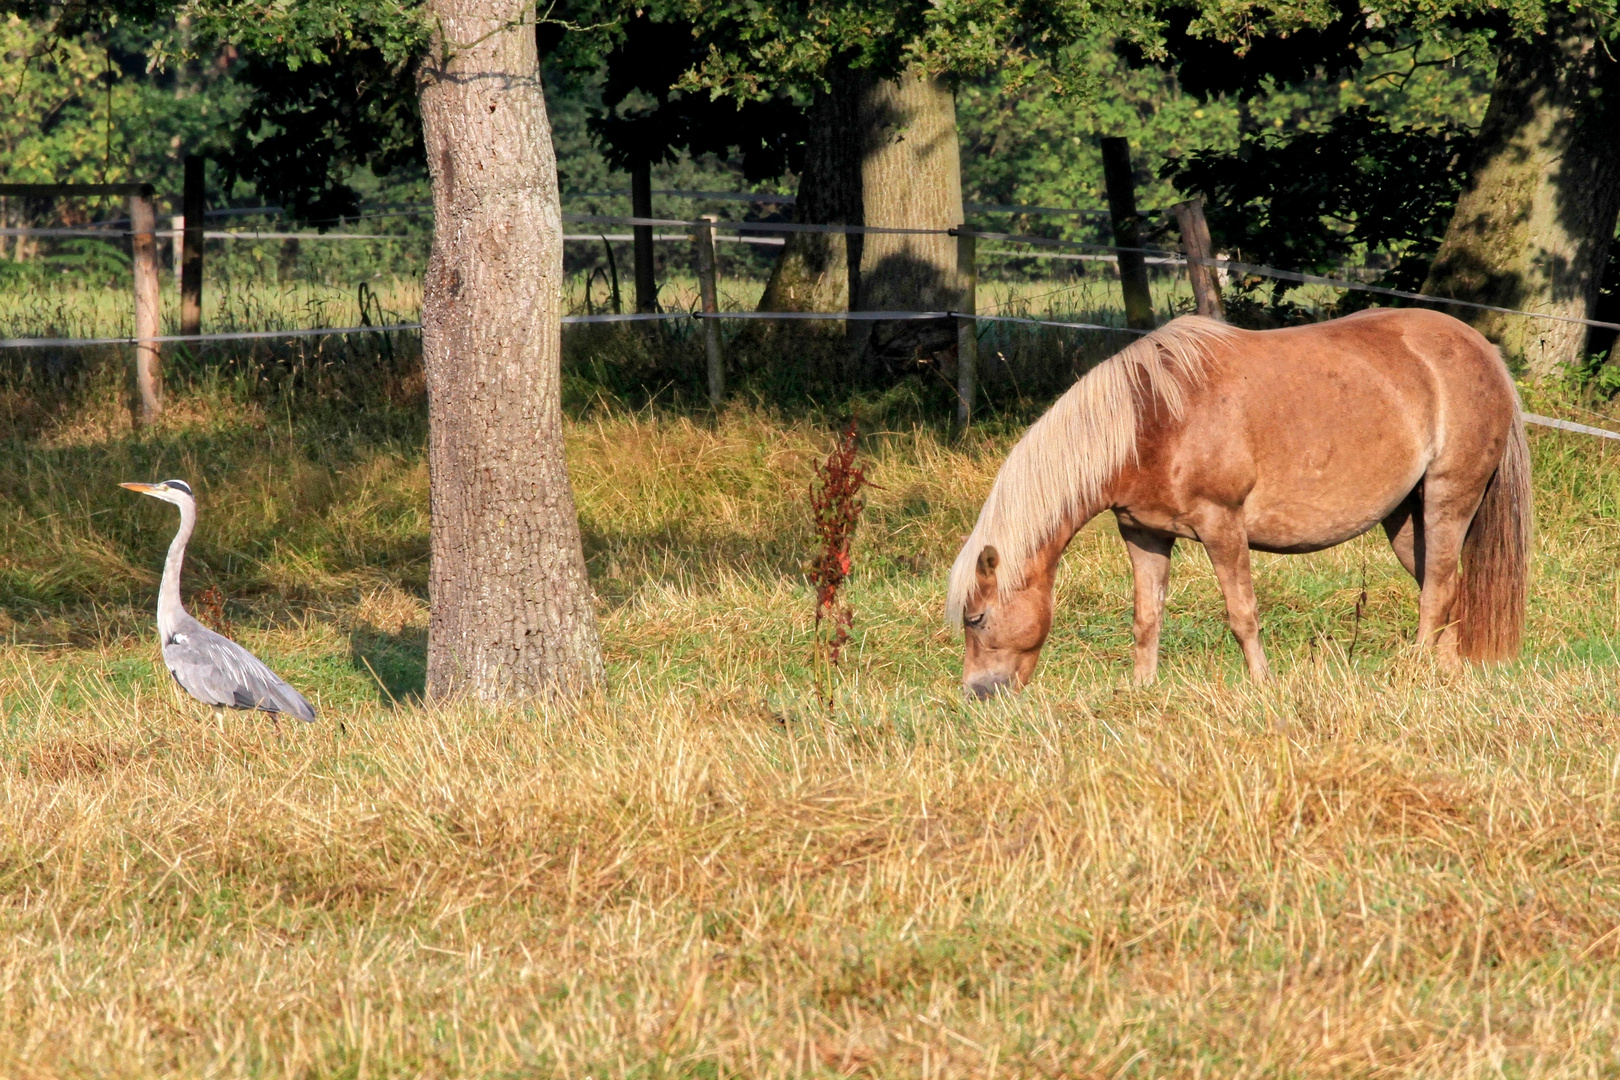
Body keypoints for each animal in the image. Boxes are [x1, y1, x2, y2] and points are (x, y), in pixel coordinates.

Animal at [946, 307, 1529, 696]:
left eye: (976, 618)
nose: (979, 693)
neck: (1152, 419)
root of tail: (1484, 351)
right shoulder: (1143, 532)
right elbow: (1146, 617)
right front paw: (1141, 691)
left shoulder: (1221, 524)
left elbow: (1242, 613)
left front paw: (1262, 685)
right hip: (1406, 518)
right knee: (1446, 586)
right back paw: (1445, 675)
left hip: (1449, 497)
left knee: (1438, 591)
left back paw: (1411, 672)